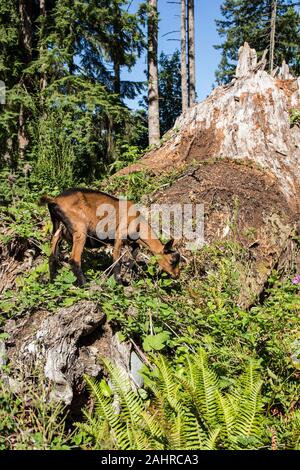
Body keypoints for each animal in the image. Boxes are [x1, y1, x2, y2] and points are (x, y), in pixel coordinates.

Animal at [39, 188, 180, 286]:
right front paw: (119, 282)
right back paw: (84, 285)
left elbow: (133, 258)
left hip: (58, 228)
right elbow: (117, 259)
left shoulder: (133, 242)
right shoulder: (119, 235)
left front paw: (128, 277)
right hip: (80, 229)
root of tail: (55, 200)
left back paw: (53, 281)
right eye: (172, 260)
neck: (138, 223)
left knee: (52, 255)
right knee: (74, 258)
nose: (177, 275)